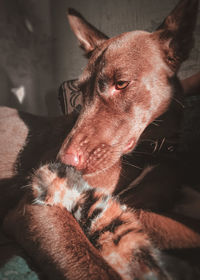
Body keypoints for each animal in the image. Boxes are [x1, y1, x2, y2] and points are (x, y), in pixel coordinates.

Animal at [1, 0, 200, 278]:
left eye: (121, 83)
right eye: (80, 90)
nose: (63, 163)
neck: (146, 151)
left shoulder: (141, 201)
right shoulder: (38, 205)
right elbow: (94, 267)